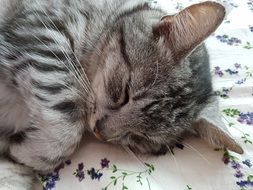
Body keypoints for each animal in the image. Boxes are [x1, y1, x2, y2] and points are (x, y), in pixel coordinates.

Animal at [0, 0, 243, 189]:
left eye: (141, 137)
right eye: (124, 94)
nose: (100, 132)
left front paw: (20, 154)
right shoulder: (43, 34)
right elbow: (65, 133)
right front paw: (27, 152)